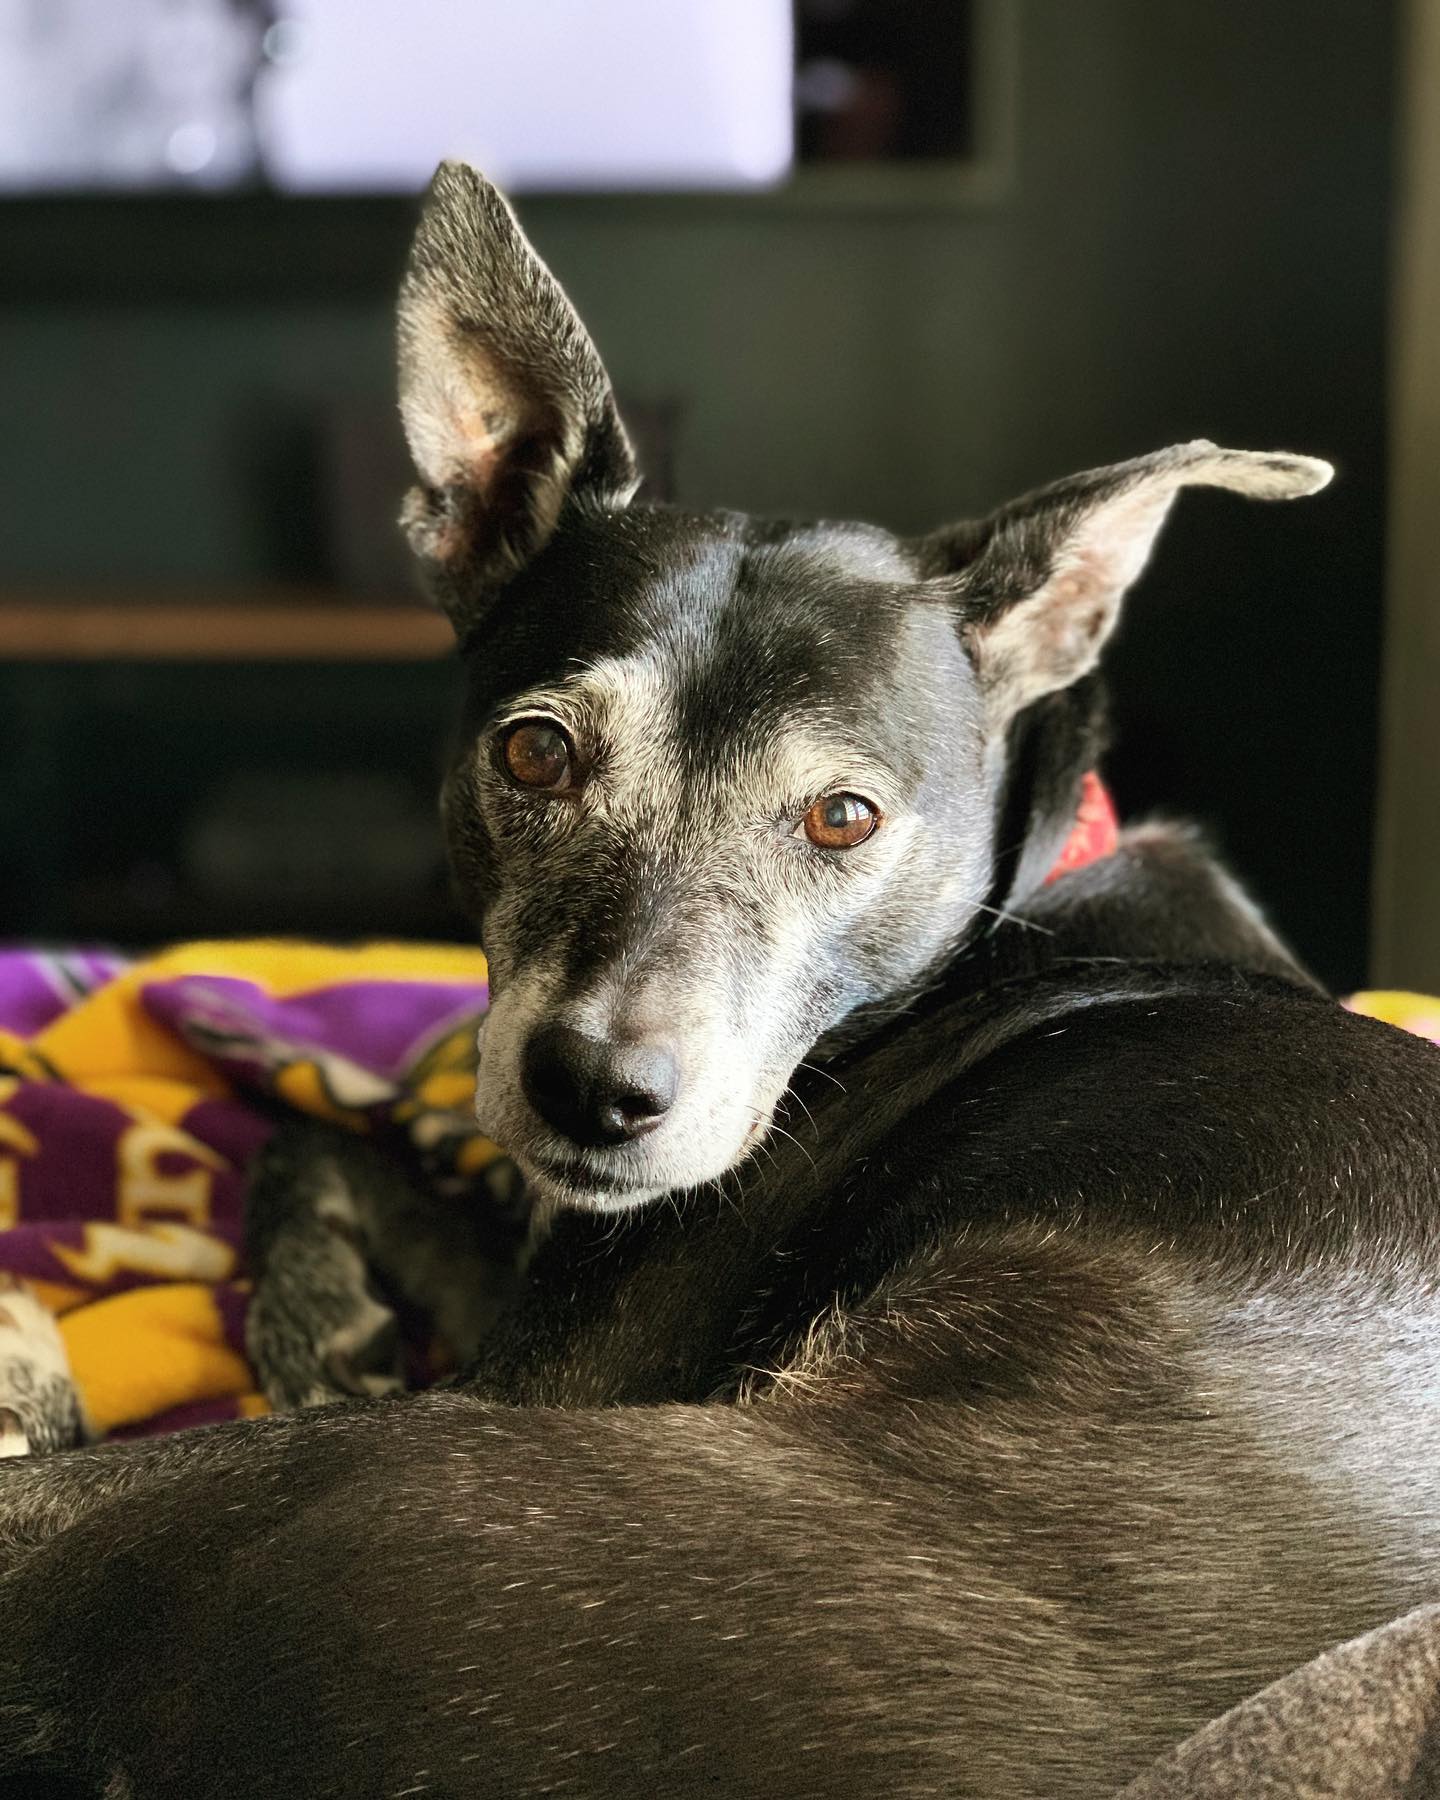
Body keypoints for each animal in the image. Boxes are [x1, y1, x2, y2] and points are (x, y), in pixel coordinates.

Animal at [2, 158, 1440, 1800]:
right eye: (534, 753)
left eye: (844, 817)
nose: (596, 1094)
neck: (1015, 909)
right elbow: (316, 1144)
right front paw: (330, 1320)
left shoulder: (549, 1366)